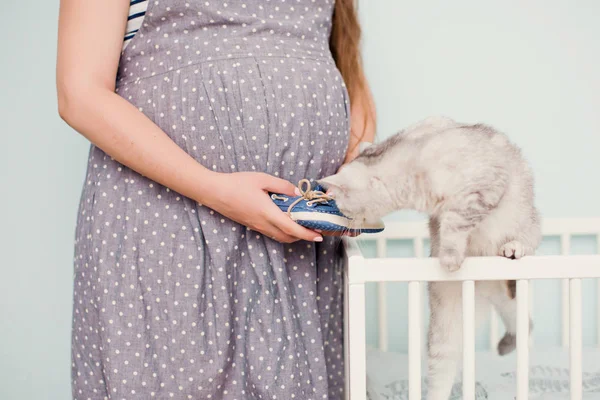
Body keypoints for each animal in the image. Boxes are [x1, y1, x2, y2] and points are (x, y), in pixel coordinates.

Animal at [322, 115, 540, 400]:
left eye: (342, 207)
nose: (346, 225)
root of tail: (485, 287)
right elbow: (446, 222)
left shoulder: (483, 185)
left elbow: (454, 221)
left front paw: (449, 256)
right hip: (448, 327)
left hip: (525, 234)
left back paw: (514, 248)